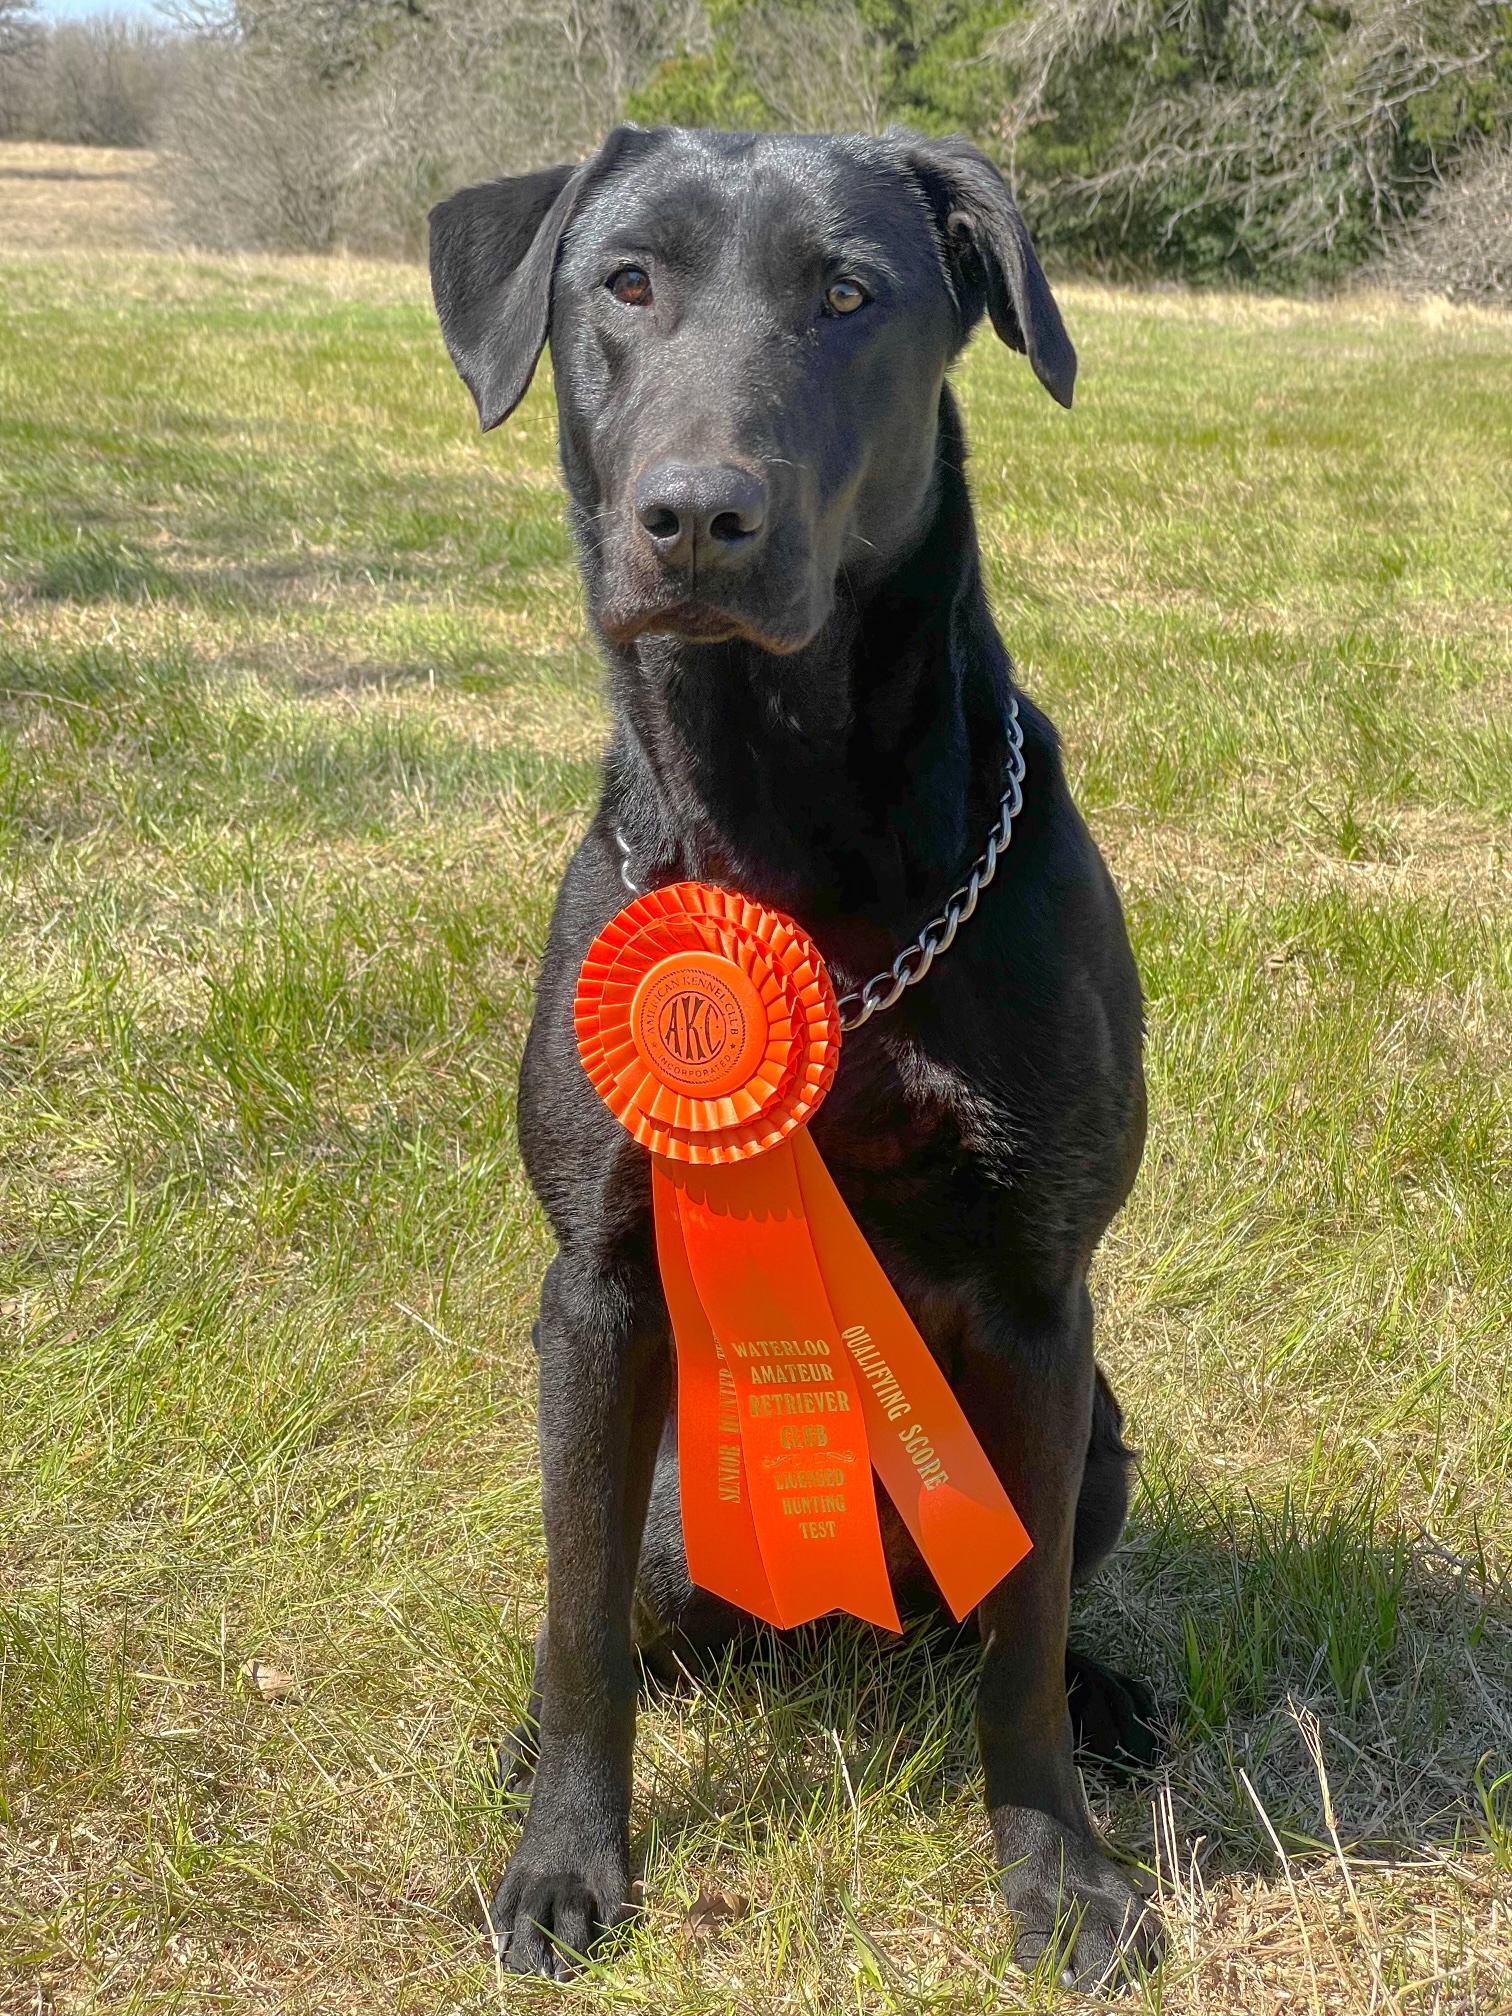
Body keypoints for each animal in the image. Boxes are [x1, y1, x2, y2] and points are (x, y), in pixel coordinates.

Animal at [435, 121, 1161, 1983]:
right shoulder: (594, 1288)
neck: (796, 847)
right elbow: (576, 1635)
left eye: (847, 295)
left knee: (1008, 1621)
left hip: (1103, 1436)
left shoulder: (1041, 1299)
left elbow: (1019, 1638)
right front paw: (565, 1862)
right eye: (625, 283)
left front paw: (1060, 1873)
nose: (697, 516)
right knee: (623, 1615)